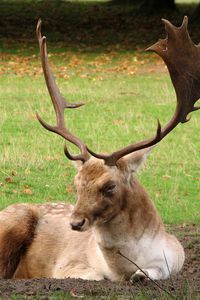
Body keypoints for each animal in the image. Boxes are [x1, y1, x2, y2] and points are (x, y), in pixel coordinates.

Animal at [0, 17, 199, 282]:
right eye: (76, 183)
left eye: (110, 186)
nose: (75, 223)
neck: (121, 269)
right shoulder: (66, 265)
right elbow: (94, 276)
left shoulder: (175, 258)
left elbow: (150, 273)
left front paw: (141, 275)